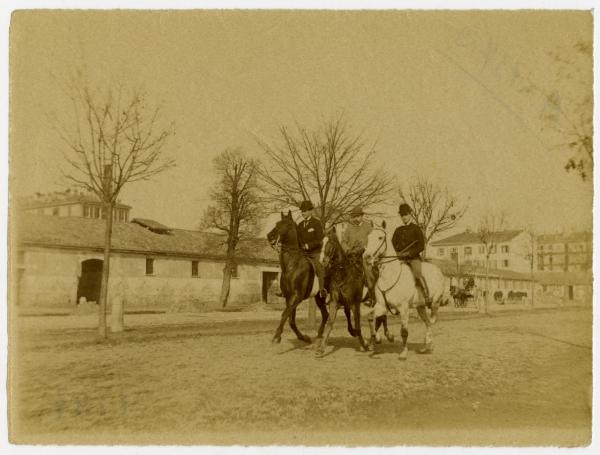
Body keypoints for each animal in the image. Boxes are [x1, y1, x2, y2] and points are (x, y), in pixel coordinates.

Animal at [268, 212, 330, 344]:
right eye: (277, 223)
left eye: (287, 224)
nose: (270, 236)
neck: (293, 265)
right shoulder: (289, 297)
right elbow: (291, 319)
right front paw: (304, 337)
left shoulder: (297, 296)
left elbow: (284, 314)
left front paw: (276, 335)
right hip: (319, 298)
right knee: (325, 314)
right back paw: (319, 334)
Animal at [314, 228, 370, 356]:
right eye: (321, 243)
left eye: (331, 243)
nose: (322, 261)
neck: (344, 275)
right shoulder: (334, 302)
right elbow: (330, 322)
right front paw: (321, 349)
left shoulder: (355, 304)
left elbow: (358, 323)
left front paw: (364, 344)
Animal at [360, 223, 446, 362]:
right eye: (368, 237)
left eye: (380, 237)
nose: (367, 257)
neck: (389, 276)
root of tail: (438, 270)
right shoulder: (381, 306)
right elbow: (372, 318)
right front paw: (377, 338)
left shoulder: (404, 308)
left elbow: (404, 331)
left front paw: (403, 353)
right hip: (420, 307)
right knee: (427, 322)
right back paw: (427, 346)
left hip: (435, 302)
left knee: (432, 318)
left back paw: (428, 343)